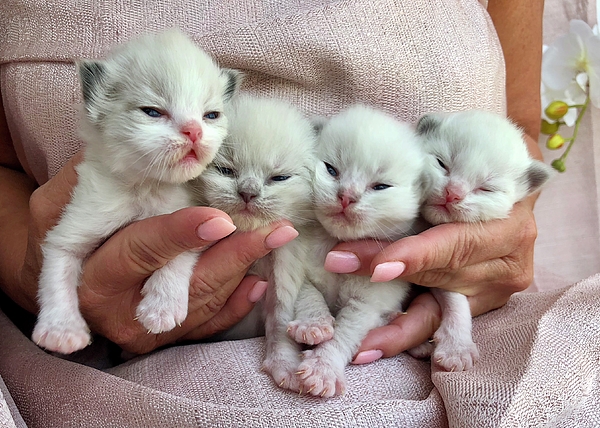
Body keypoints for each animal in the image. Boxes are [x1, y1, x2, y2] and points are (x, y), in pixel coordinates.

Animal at [31, 29, 243, 354]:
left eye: (211, 115)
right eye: (152, 112)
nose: (194, 131)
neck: (146, 187)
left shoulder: (193, 218)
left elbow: (180, 255)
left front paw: (162, 307)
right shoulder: (77, 224)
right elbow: (57, 271)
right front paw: (62, 330)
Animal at [195, 94, 322, 394]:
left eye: (279, 177)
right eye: (225, 170)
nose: (248, 193)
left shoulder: (284, 258)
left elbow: (280, 314)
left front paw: (284, 363)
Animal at [290, 104, 426, 398]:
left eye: (381, 186)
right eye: (331, 169)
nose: (346, 196)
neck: (334, 243)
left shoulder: (368, 301)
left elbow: (345, 332)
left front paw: (323, 367)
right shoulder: (301, 267)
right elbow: (309, 294)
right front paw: (313, 324)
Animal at [410, 109, 556, 372]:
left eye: (487, 188)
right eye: (441, 163)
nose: (453, 193)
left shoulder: (444, 272)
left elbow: (455, 298)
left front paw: (456, 347)